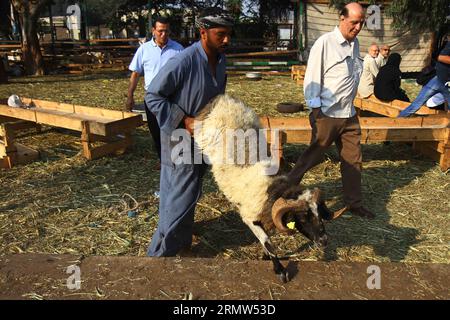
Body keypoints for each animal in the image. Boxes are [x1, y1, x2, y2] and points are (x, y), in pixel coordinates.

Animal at [192, 94, 344, 282]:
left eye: (319, 213)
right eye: (302, 218)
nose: (324, 241)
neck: (273, 189)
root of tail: (224, 98)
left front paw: (266, 257)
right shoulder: (250, 217)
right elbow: (268, 242)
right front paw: (279, 270)